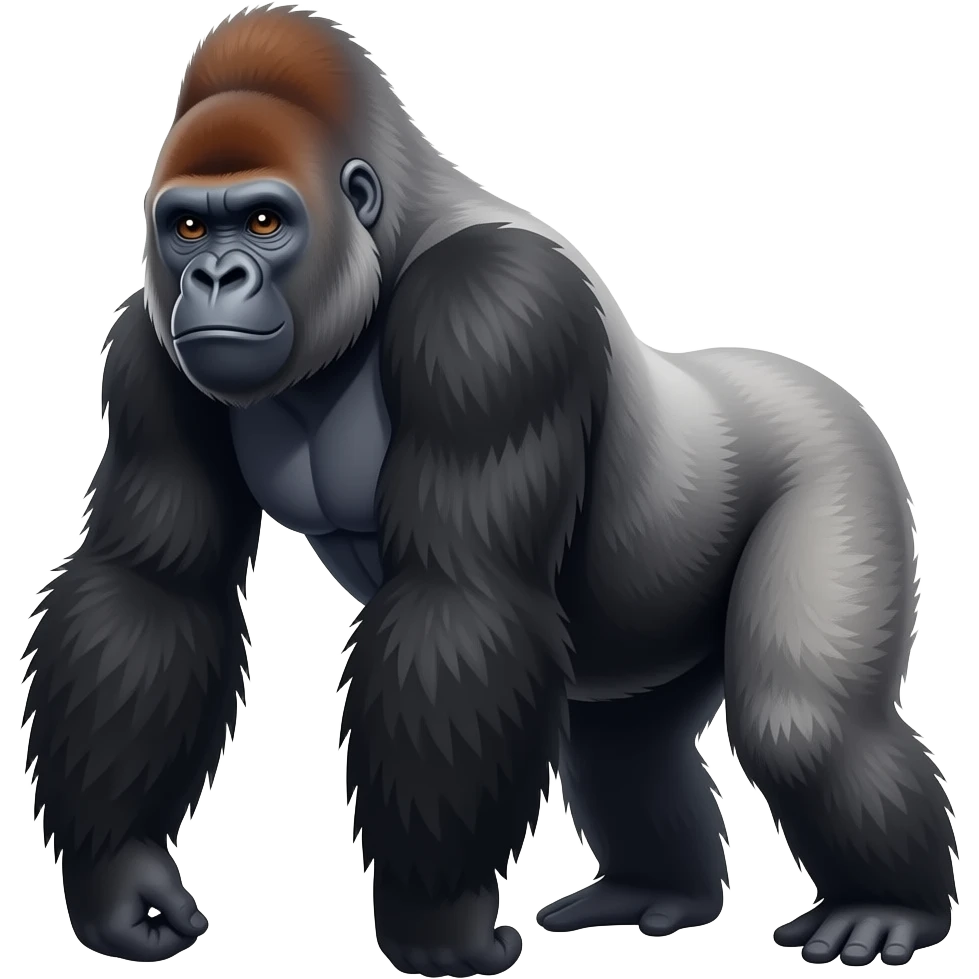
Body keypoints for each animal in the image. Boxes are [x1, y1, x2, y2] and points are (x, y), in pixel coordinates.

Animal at [19, 3, 957, 973]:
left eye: (266, 221)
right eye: (189, 230)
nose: (214, 279)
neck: (386, 242)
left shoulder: (492, 316)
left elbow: (458, 599)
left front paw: (435, 927)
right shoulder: (149, 344)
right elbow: (152, 587)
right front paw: (120, 875)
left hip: (840, 459)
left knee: (801, 724)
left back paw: (889, 905)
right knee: (626, 746)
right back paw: (656, 887)